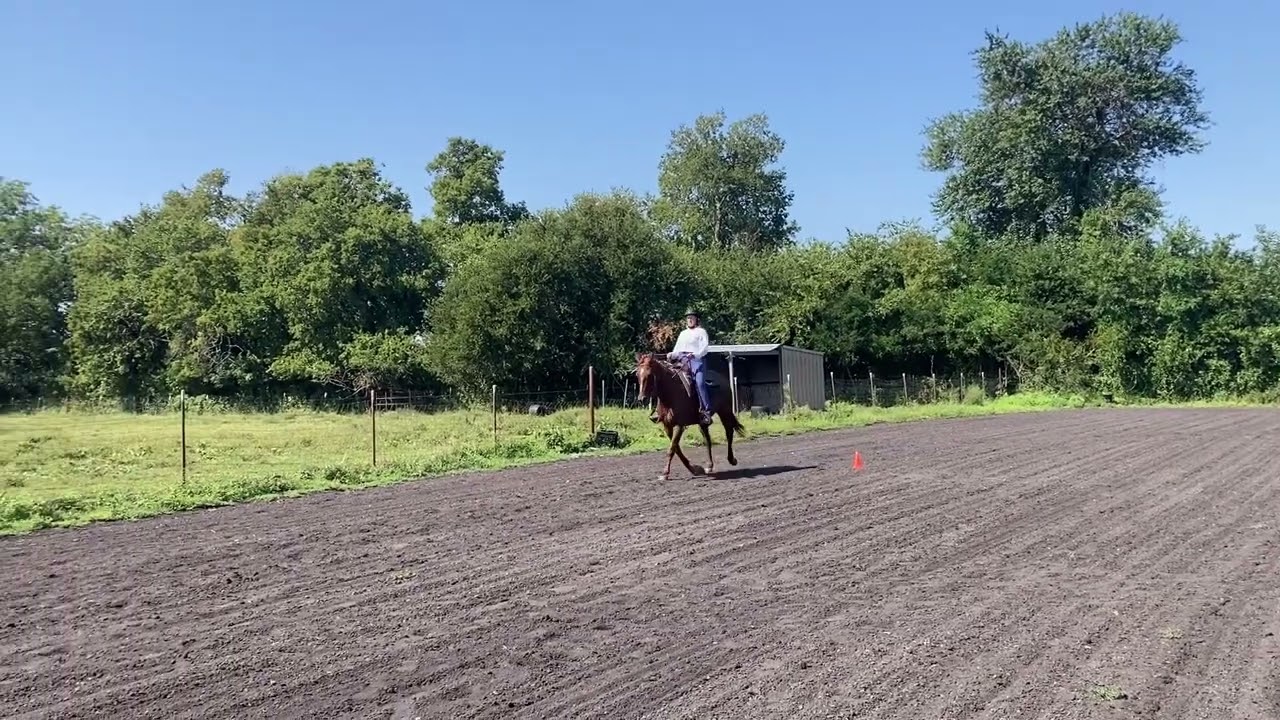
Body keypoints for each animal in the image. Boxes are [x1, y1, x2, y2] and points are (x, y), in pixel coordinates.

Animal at [634, 352, 746, 480]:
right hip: (703, 422)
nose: (642, 399)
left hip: (725, 411)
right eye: (637, 374)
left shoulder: (680, 425)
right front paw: (695, 469)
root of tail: (722, 379)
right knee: (707, 439)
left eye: (650, 374)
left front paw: (665, 473)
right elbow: (676, 448)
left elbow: (672, 448)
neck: (671, 394)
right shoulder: (667, 426)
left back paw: (732, 459)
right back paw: (709, 466)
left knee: (729, 432)